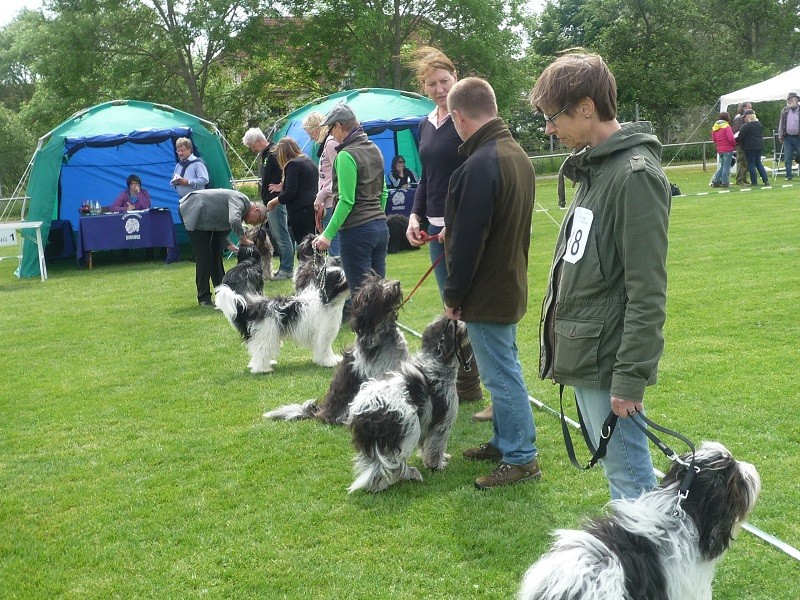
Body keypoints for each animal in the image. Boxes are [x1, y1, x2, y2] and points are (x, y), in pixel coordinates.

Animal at [214, 266, 348, 372]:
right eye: (341, 277)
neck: (327, 300)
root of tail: (254, 308)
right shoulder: (324, 333)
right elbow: (325, 348)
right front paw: (329, 362)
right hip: (267, 333)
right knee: (261, 350)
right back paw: (262, 369)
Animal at [346, 316, 468, 494]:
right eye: (456, 325)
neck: (437, 359)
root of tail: (372, 411)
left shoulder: (426, 422)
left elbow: (426, 445)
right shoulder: (442, 421)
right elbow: (436, 446)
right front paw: (436, 466)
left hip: (371, 443)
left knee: (376, 466)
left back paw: (379, 485)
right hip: (408, 430)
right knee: (394, 463)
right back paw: (409, 475)